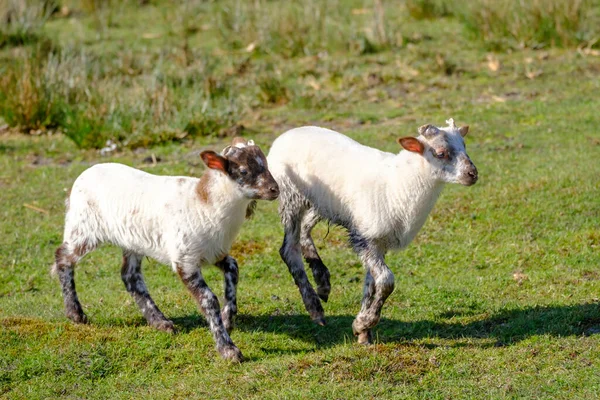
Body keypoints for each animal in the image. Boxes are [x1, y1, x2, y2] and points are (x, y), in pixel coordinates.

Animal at [52, 138, 278, 362]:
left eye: (266, 164)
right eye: (243, 171)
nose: (275, 189)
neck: (204, 204)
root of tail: (84, 174)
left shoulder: (215, 251)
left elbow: (234, 269)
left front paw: (228, 319)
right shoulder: (185, 259)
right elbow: (208, 299)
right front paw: (228, 349)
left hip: (133, 240)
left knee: (130, 276)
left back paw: (160, 322)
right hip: (83, 227)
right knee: (63, 258)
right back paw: (75, 314)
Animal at [268, 118, 478, 344]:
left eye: (464, 145)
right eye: (440, 153)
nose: (473, 174)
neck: (398, 184)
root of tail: (286, 135)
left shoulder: (378, 241)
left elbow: (371, 284)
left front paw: (362, 331)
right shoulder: (364, 237)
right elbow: (386, 281)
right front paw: (365, 322)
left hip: (321, 203)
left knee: (305, 230)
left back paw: (322, 282)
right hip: (291, 195)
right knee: (289, 249)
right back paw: (315, 308)